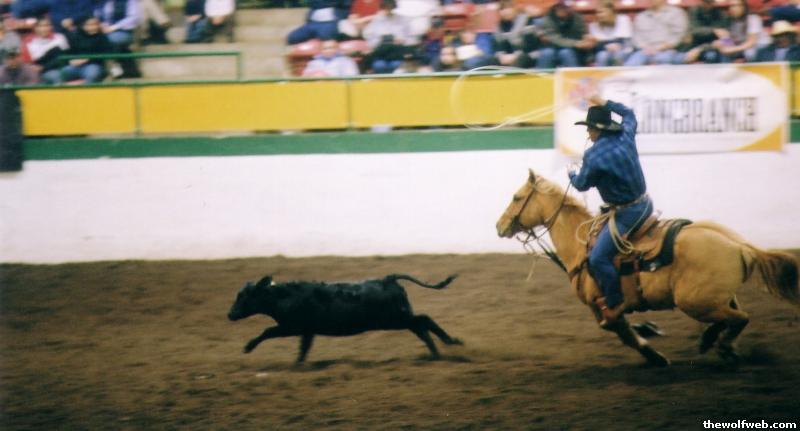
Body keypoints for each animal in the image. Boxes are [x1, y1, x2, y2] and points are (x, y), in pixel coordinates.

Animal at [496, 169, 800, 367]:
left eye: (516, 197)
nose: (500, 226)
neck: (580, 245)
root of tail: (740, 245)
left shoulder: (602, 307)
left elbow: (623, 333)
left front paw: (655, 356)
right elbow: (626, 331)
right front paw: (650, 336)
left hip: (695, 301)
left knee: (740, 318)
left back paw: (722, 345)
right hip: (714, 298)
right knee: (731, 317)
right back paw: (712, 341)